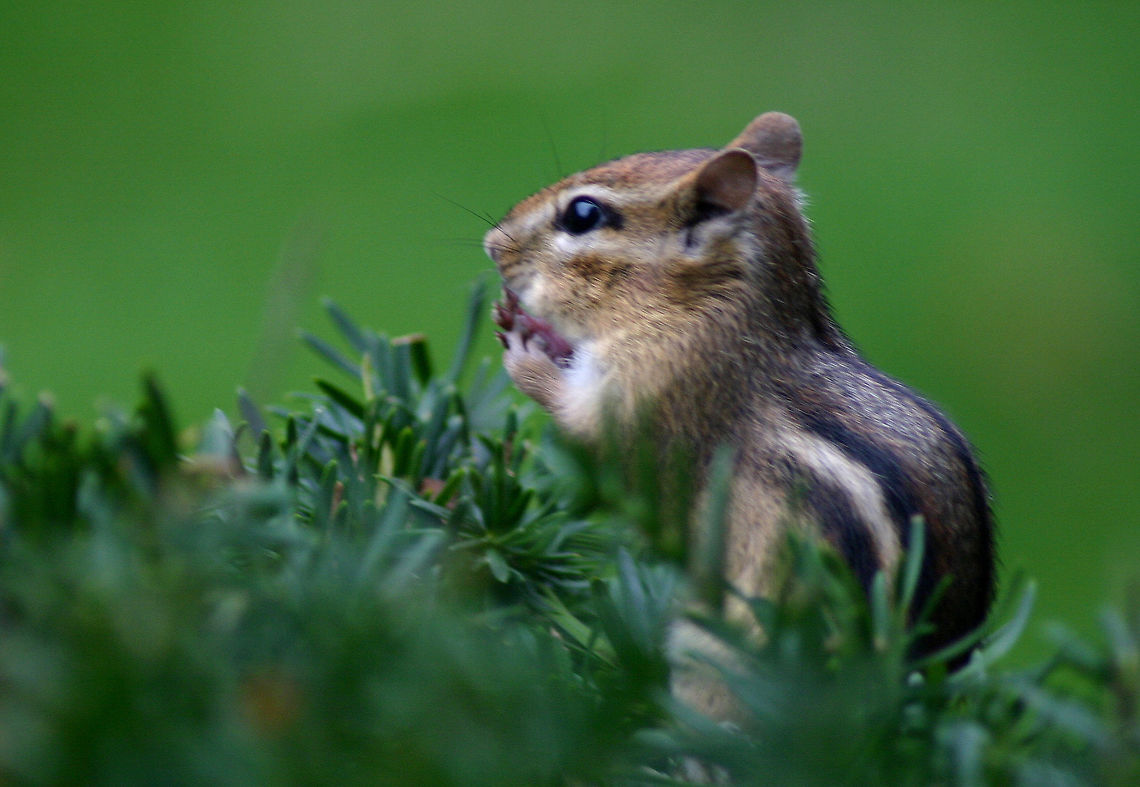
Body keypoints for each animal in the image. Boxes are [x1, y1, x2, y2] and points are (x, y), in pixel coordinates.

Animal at [484, 112, 995, 711]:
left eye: (583, 214)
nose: (492, 244)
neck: (709, 304)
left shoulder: (659, 385)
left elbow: (595, 438)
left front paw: (526, 348)